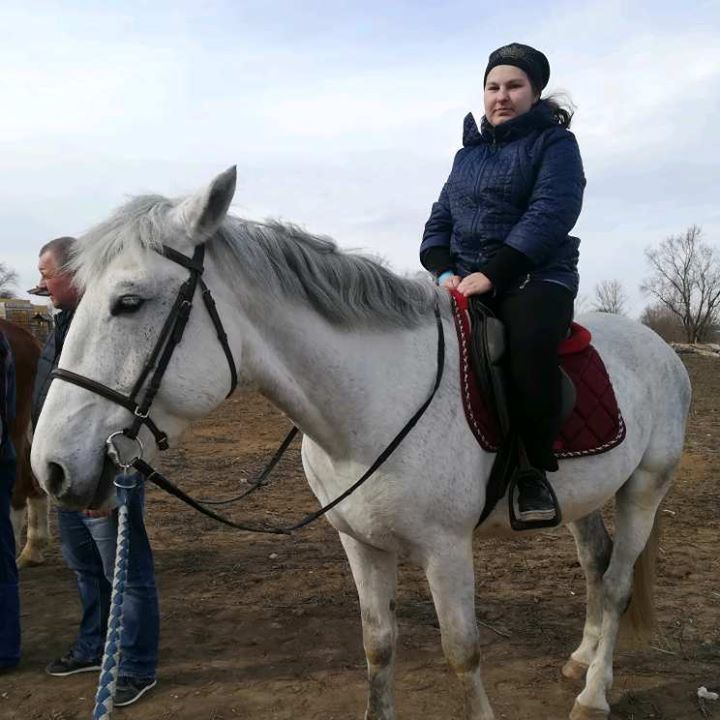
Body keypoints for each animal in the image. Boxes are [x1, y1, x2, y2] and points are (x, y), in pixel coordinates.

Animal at [32, 169, 692, 720]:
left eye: (128, 302)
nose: (52, 468)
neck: (371, 407)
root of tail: (659, 348)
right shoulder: (360, 543)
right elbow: (378, 647)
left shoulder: (446, 550)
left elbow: (462, 653)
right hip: (583, 494)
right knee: (596, 563)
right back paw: (581, 660)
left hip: (645, 488)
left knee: (617, 585)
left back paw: (594, 694)